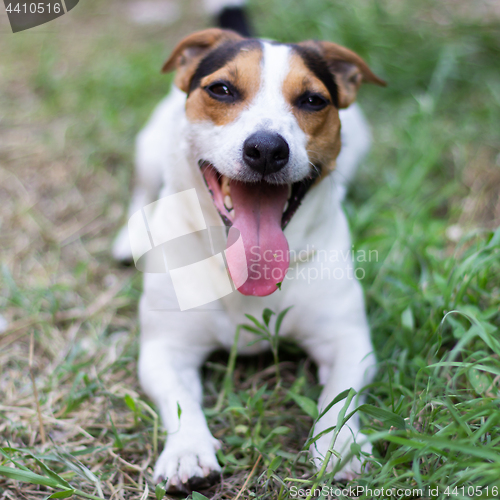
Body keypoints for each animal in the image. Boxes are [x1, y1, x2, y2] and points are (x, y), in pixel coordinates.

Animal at [113, 0, 384, 492]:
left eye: (313, 100)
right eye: (221, 89)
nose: (266, 148)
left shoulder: (349, 340)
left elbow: (342, 394)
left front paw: (341, 445)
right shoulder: (165, 350)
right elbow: (179, 401)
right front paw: (187, 451)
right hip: (149, 147)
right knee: (143, 187)